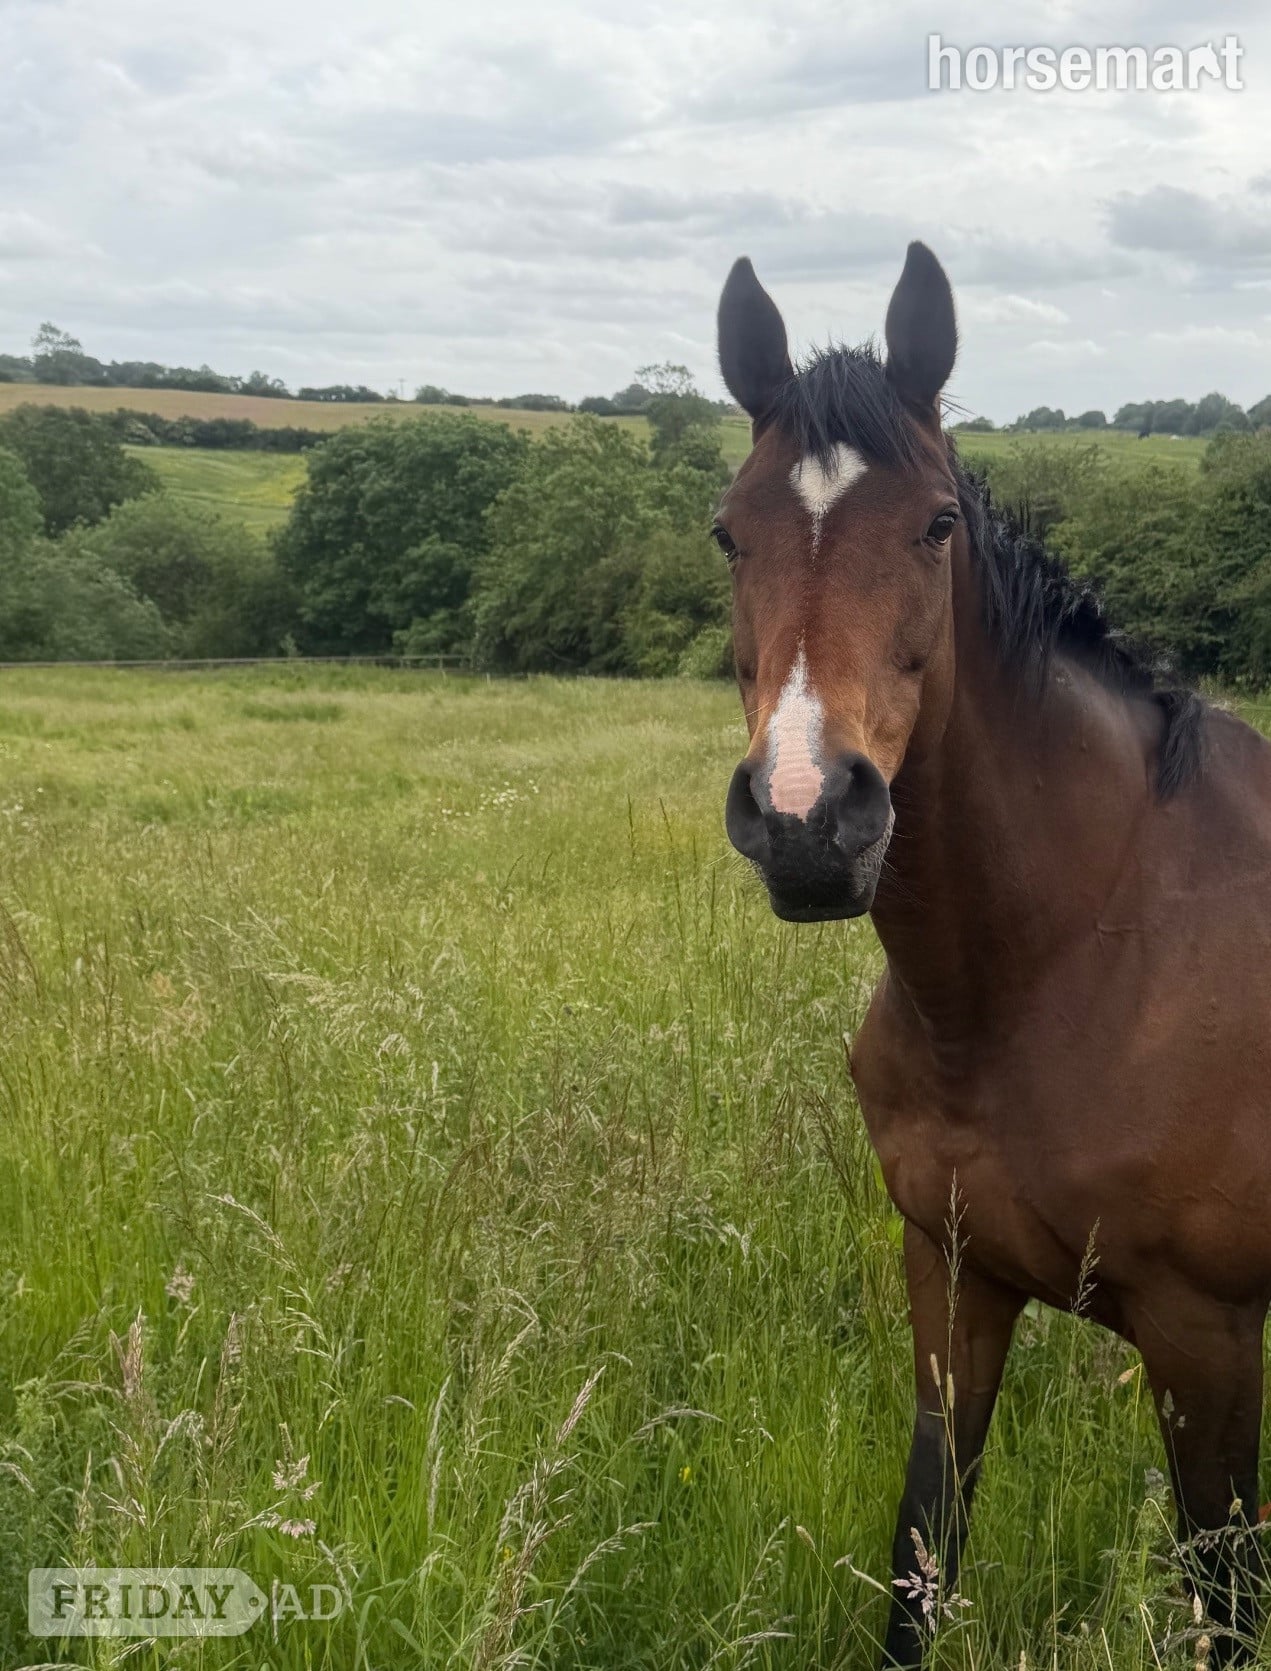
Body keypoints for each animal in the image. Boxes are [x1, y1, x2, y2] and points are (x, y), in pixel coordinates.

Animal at [713, 242, 1271, 1667]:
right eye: (727, 531)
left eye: (935, 527)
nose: (805, 819)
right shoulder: (951, 1280)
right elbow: (923, 1553)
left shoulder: (1203, 1335)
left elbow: (1226, 1596)